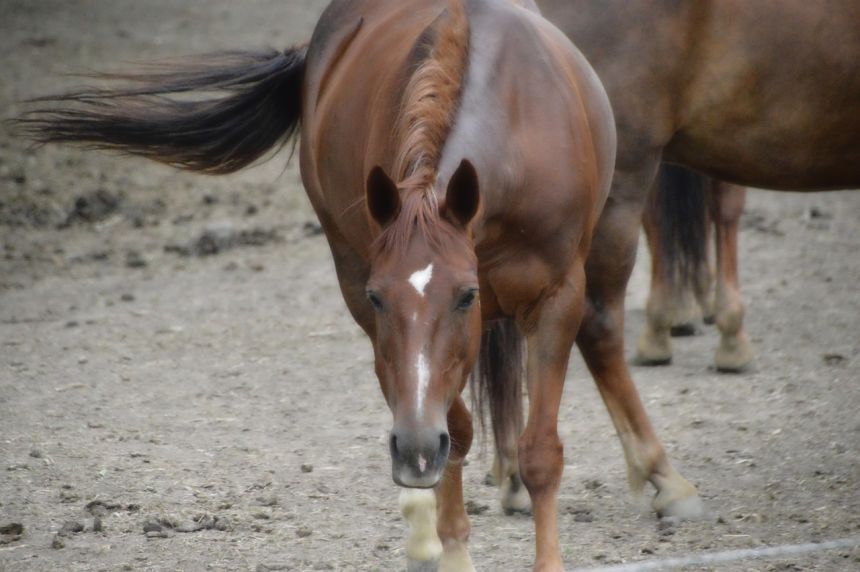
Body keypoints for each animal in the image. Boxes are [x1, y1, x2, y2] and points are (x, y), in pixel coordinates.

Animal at [20, 1, 700, 572]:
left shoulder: (557, 297)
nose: (413, 451)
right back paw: (428, 528)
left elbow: (540, 453)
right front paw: (448, 543)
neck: (515, 130)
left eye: (465, 295)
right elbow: (456, 432)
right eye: (379, 297)